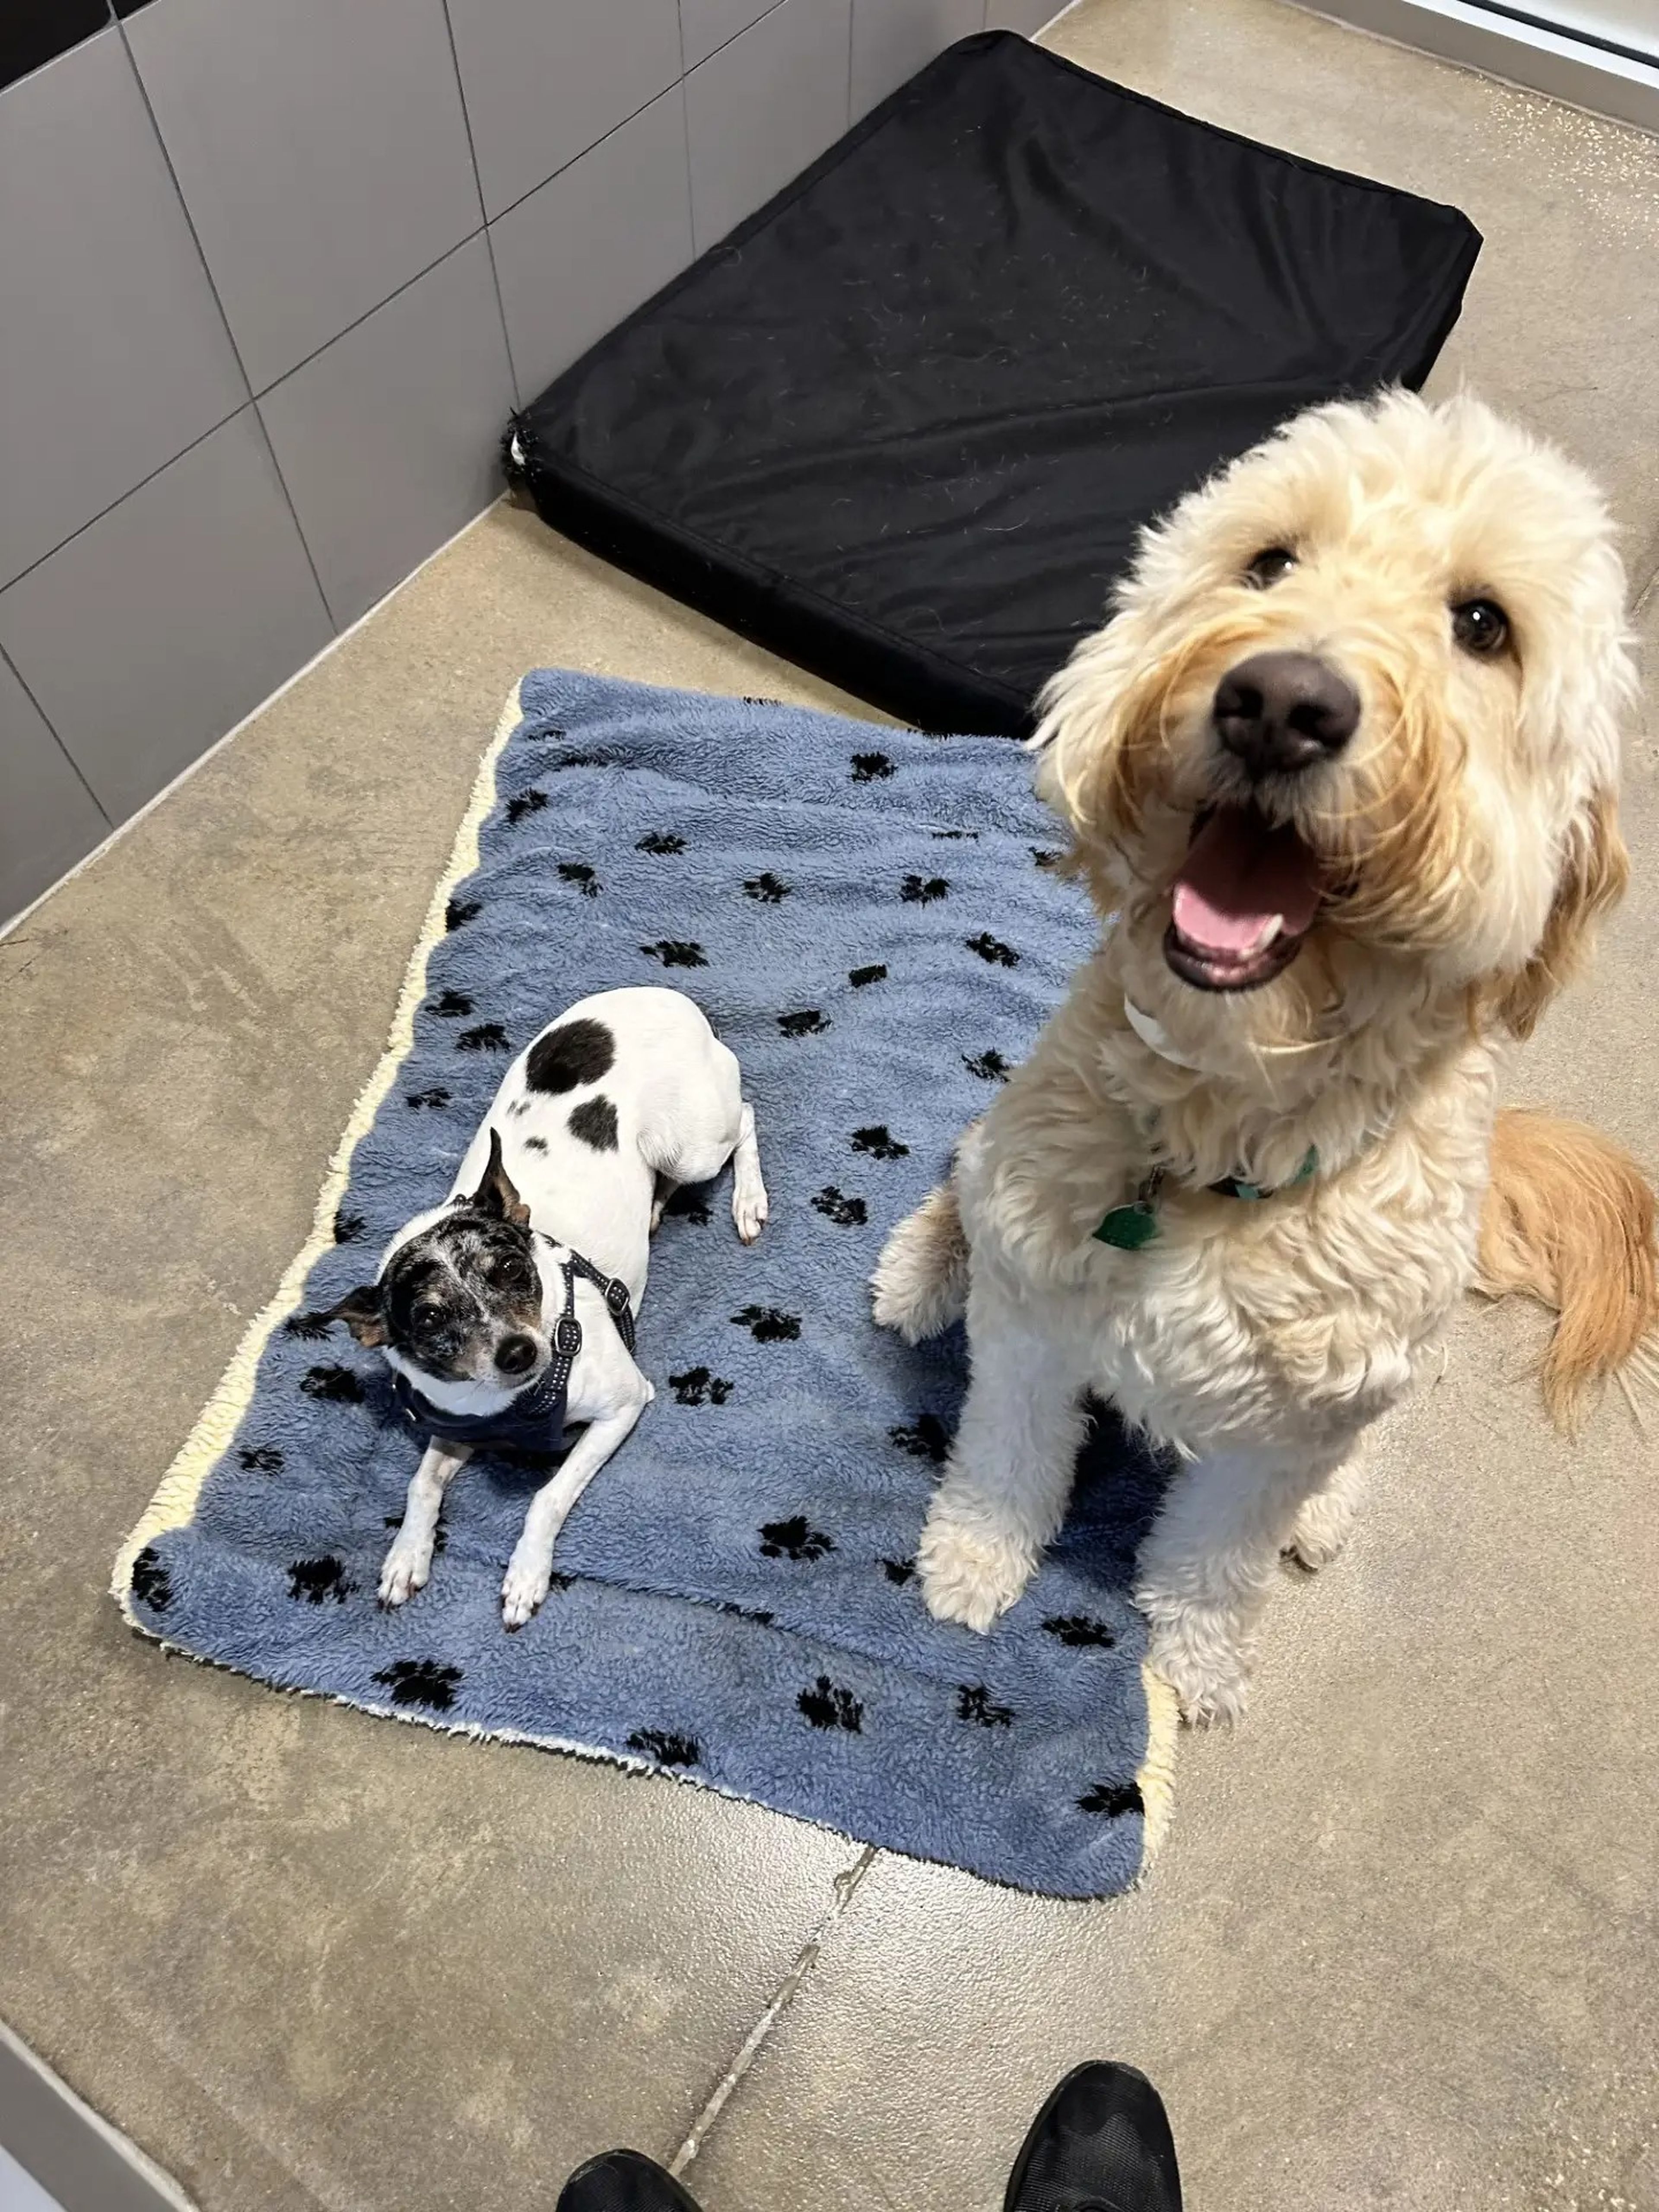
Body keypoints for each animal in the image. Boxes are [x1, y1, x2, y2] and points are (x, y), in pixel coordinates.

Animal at [314, 986, 769, 1628]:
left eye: (509, 1269)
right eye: (429, 1318)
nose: (518, 1352)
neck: (512, 1403)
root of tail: (669, 996)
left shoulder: (624, 1406)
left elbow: (547, 1496)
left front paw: (526, 1574)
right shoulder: (456, 1429)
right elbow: (421, 1485)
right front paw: (406, 1554)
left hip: (692, 1146)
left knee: (745, 1121)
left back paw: (748, 1201)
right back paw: (656, 1204)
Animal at [876, 389, 1654, 1716]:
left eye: (1483, 626)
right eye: (1270, 562)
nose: (1282, 703)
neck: (1225, 1120)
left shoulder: (1287, 1430)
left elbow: (1217, 1551)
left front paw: (1194, 1656)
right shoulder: (1035, 1329)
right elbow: (1007, 1458)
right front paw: (973, 1562)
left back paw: (1327, 1514)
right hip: (997, 1170)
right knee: (961, 1183)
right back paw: (919, 1274)